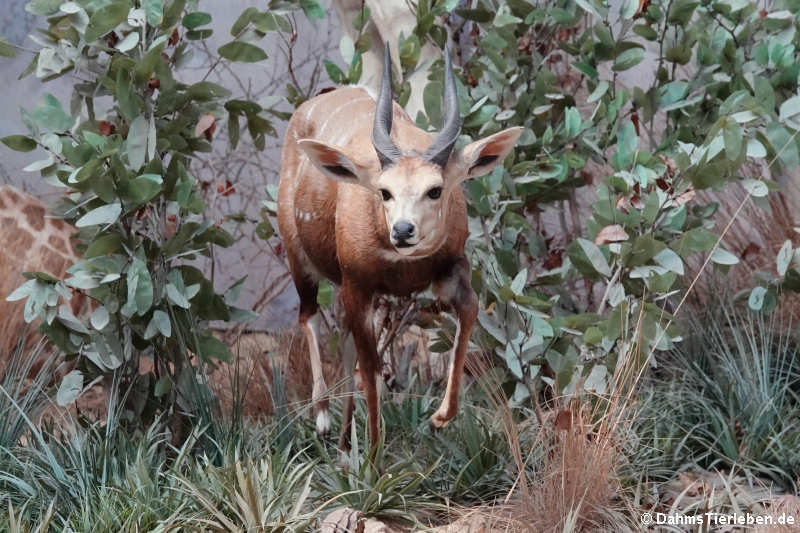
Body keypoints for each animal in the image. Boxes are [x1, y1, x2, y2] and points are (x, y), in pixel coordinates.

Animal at [278, 43, 520, 448]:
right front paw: (374, 455)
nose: (403, 231)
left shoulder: (449, 267)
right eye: (384, 191)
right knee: (308, 315)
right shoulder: (357, 283)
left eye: (435, 190)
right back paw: (324, 418)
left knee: (347, 345)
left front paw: (439, 417)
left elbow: (469, 309)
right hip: (299, 255)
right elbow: (371, 368)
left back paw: (344, 442)